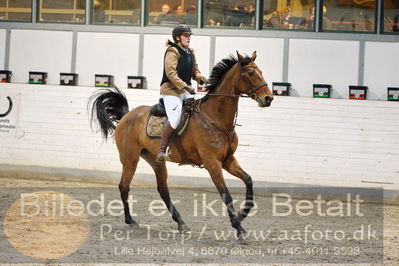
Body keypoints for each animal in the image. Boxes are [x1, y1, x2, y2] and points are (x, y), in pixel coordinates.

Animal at [89, 51, 274, 238]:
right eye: (251, 73)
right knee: (124, 186)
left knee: (163, 190)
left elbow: (249, 180)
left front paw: (243, 214)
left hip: (155, 161)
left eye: (260, 71)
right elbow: (225, 194)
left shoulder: (227, 159)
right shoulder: (212, 163)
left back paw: (181, 223)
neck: (214, 117)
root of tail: (126, 116)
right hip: (130, 160)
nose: (268, 98)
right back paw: (130, 220)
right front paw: (239, 228)